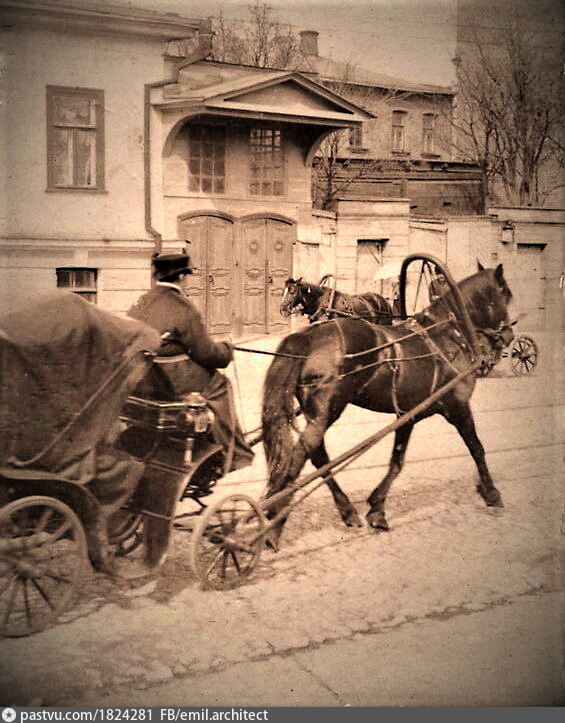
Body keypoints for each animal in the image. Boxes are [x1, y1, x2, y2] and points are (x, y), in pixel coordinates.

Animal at [262, 262, 514, 546]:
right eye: (505, 294)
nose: (508, 334)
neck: (449, 336)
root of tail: (309, 339)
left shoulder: (408, 414)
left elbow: (397, 462)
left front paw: (377, 508)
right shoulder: (458, 407)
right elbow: (477, 449)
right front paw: (491, 492)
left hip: (319, 414)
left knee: (317, 456)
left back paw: (345, 510)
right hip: (327, 412)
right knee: (300, 457)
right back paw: (275, 524)